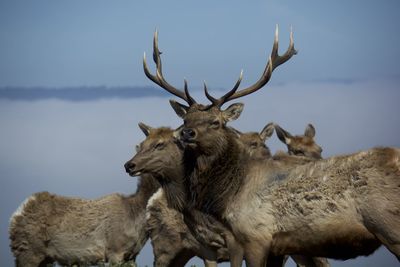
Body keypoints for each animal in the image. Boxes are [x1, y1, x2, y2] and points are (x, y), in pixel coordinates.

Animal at [144, 27, 400, 266]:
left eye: (216, 122)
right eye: (186, 120)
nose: (187, 133)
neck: (229, 196)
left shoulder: (254, 237)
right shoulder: (278, 246)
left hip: (389, 226)